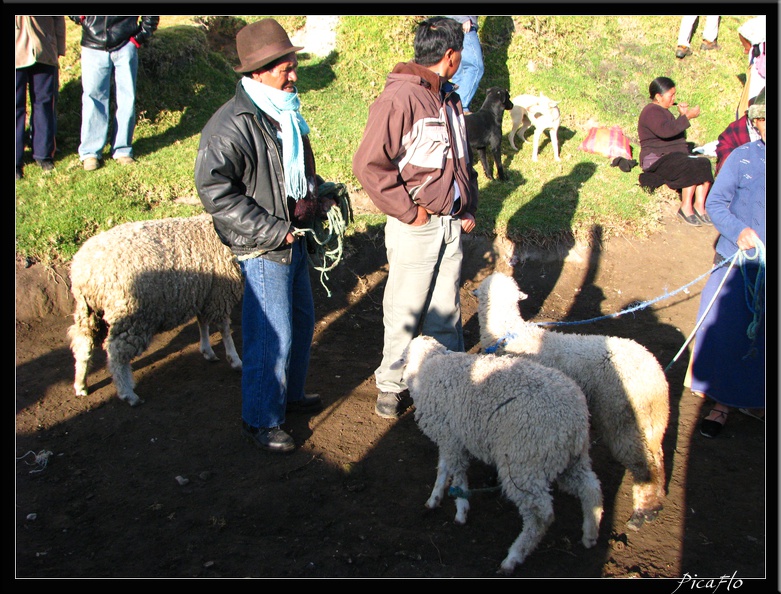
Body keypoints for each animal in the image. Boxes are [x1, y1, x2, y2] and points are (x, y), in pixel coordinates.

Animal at [68, 215, 242, 404]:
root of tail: (85, 269)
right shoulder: (220, 293)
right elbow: (224, 329)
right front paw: (235, 359)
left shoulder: (204, 293)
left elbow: (202, 323)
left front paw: (207, 351)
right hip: (132, 314)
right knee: (117, 352)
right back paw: (128, 393)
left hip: (87, 310)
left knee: (83, 343)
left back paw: (81, 384)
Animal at [396, 336, 604, 572]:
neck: (429, 366)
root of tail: (574, 419)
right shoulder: (450, 435)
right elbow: (443, 468)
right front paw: (435, 498)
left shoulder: (451, 438)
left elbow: (457, 473)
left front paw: (461, 510)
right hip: (571, 459)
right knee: (590, 488)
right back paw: (590, 533)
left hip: (524, 462)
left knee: (540, 516)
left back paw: (513, 557)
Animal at [472, 270, 668, 528]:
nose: (474, 291)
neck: (508, 331)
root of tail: (656, 376)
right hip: (650, 422)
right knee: (657, 459)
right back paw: (655, 504)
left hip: (622, 417)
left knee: (642, 465)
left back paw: (641, 512)